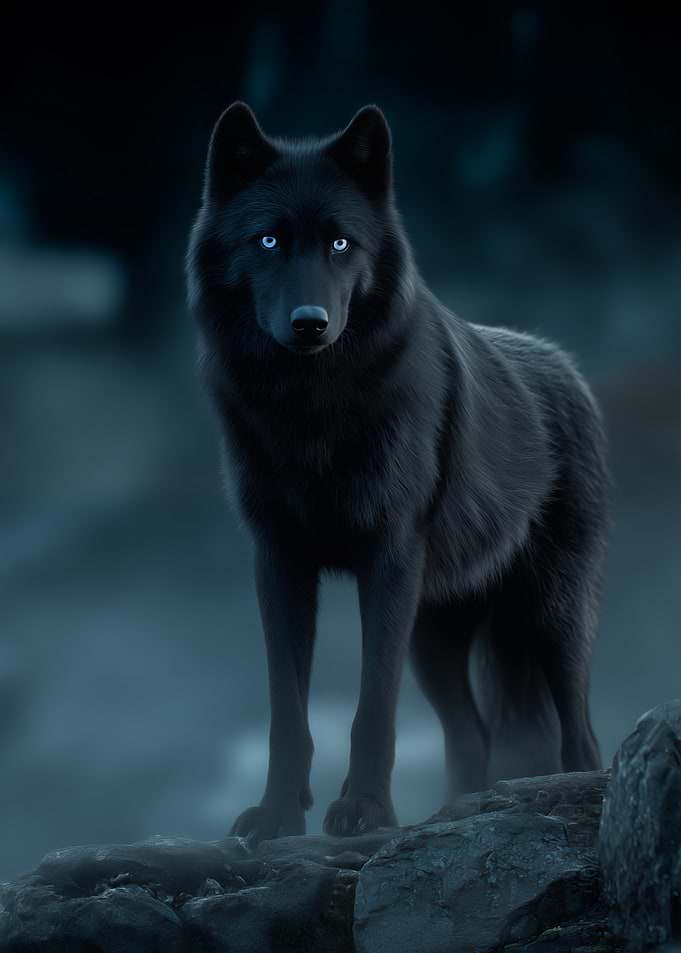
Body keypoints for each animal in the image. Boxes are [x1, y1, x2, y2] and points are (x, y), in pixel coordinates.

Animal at [186, 102, 610, 842]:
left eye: (340, 244)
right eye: (267, 241)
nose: (309, 322)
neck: (310, 412)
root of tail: (569, 368)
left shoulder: (386, 558)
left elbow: (371, 707)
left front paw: (364, 811)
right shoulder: (278, 561)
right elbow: (286, 713)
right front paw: (277, 814)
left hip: (551, 618)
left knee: (579, 737)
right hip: (435, 637)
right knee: (470, 735)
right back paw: (453, 813)